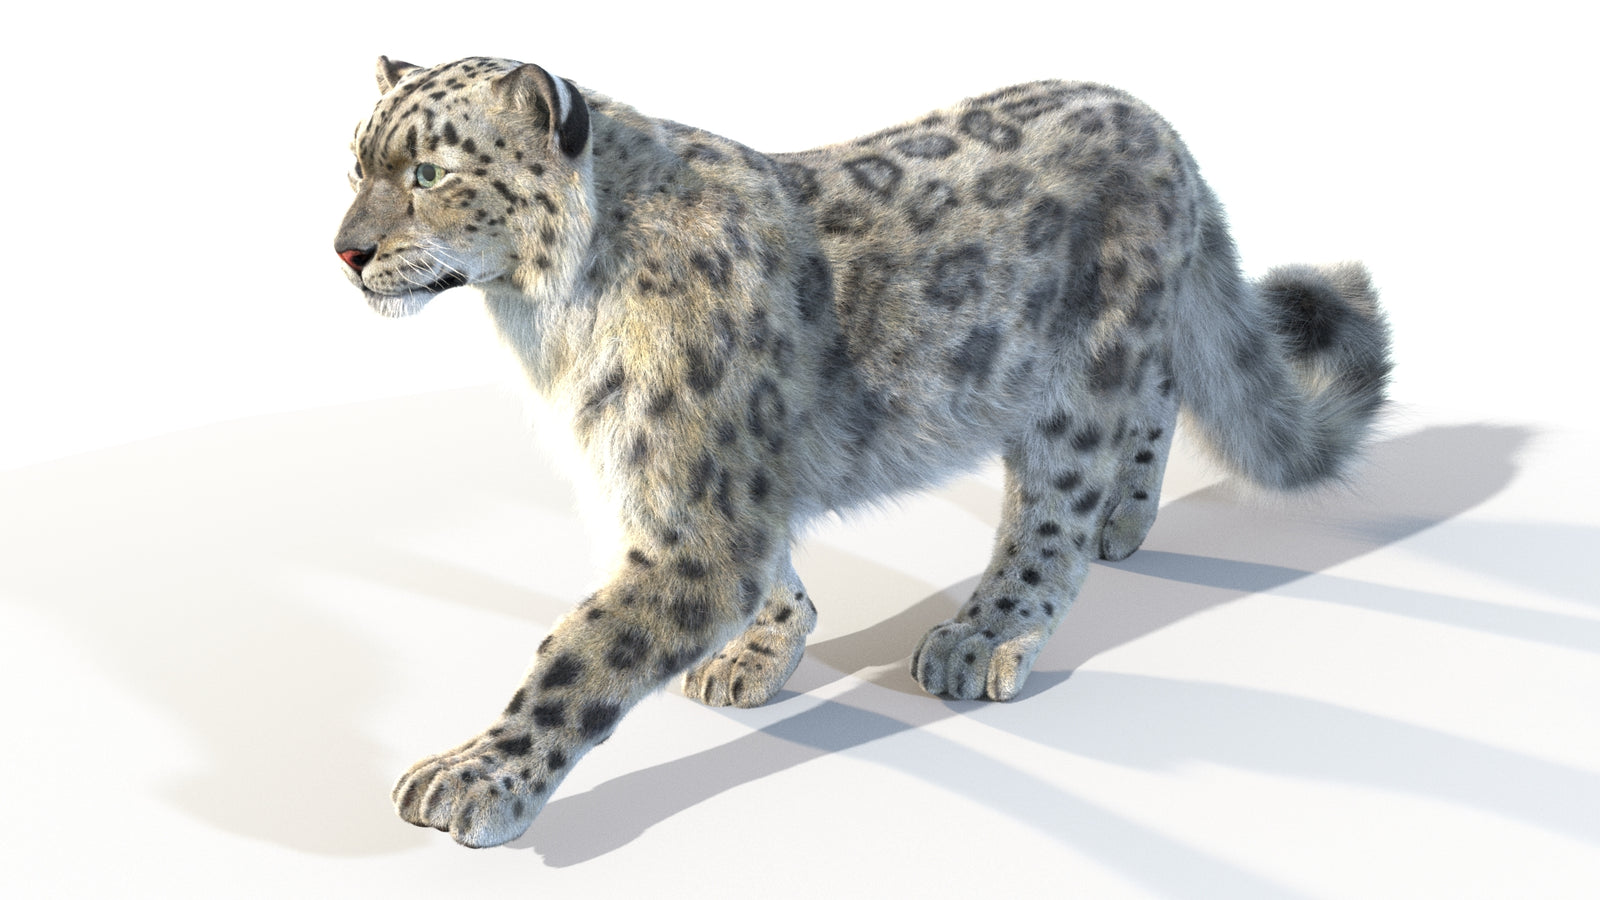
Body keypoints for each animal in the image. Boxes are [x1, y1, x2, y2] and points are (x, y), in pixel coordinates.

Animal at [333, 55, 1391, 848]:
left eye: (429, 174)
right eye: (355, 165)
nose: (346, 251)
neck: (543, 322)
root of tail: (1158, 122)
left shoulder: (695, 517)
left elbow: (581, 652)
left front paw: (472, 778)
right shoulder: (705, 493)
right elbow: (770, 575)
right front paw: (761, 652)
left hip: (1078, 378)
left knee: (1056, 507)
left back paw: (985, 634)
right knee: (1161, 401)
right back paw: (1126, 524)